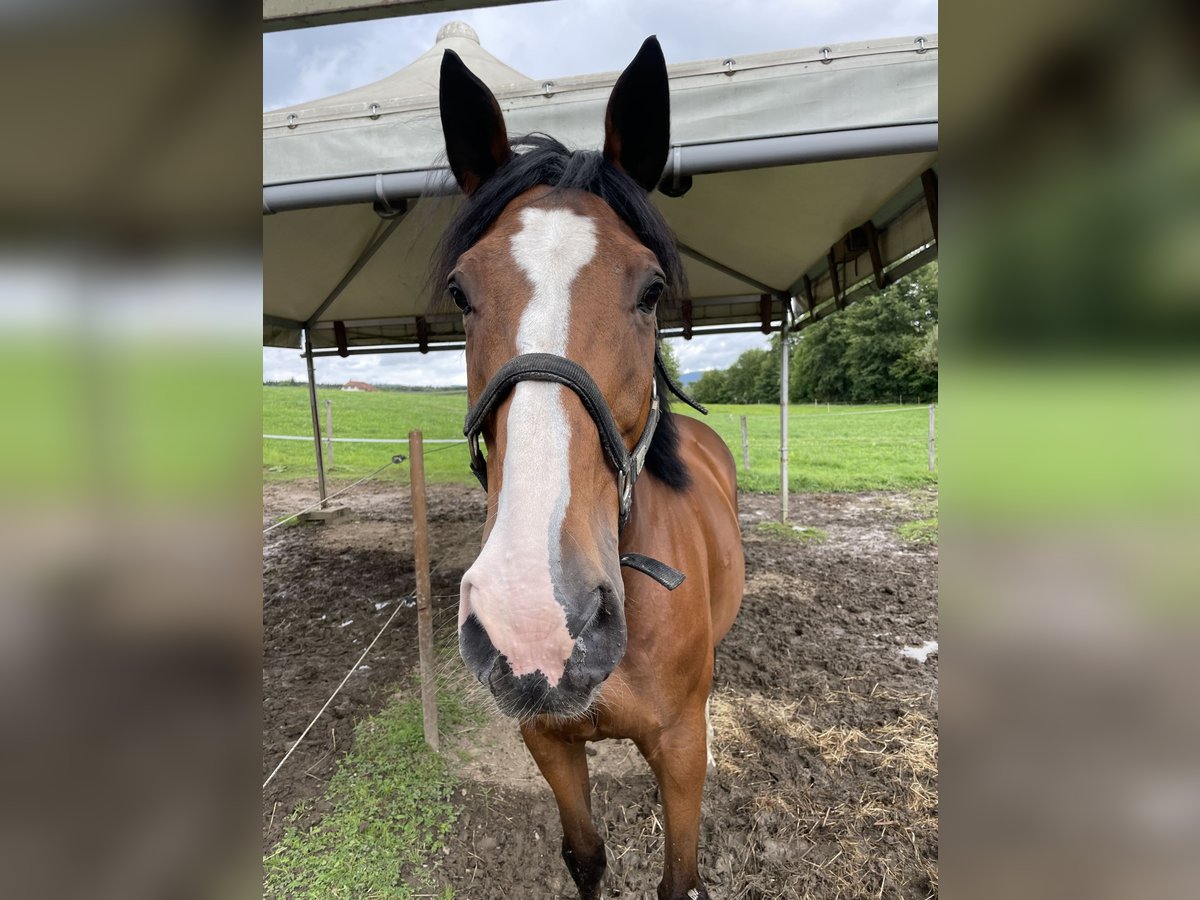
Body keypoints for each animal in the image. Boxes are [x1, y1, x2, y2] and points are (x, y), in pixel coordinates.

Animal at [436, 37, 744, 900]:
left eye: (650, 289)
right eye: (460, 291)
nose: (534, 620)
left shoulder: (679, 752)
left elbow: (680, 878)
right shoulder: (548, 742)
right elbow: (585, 857)